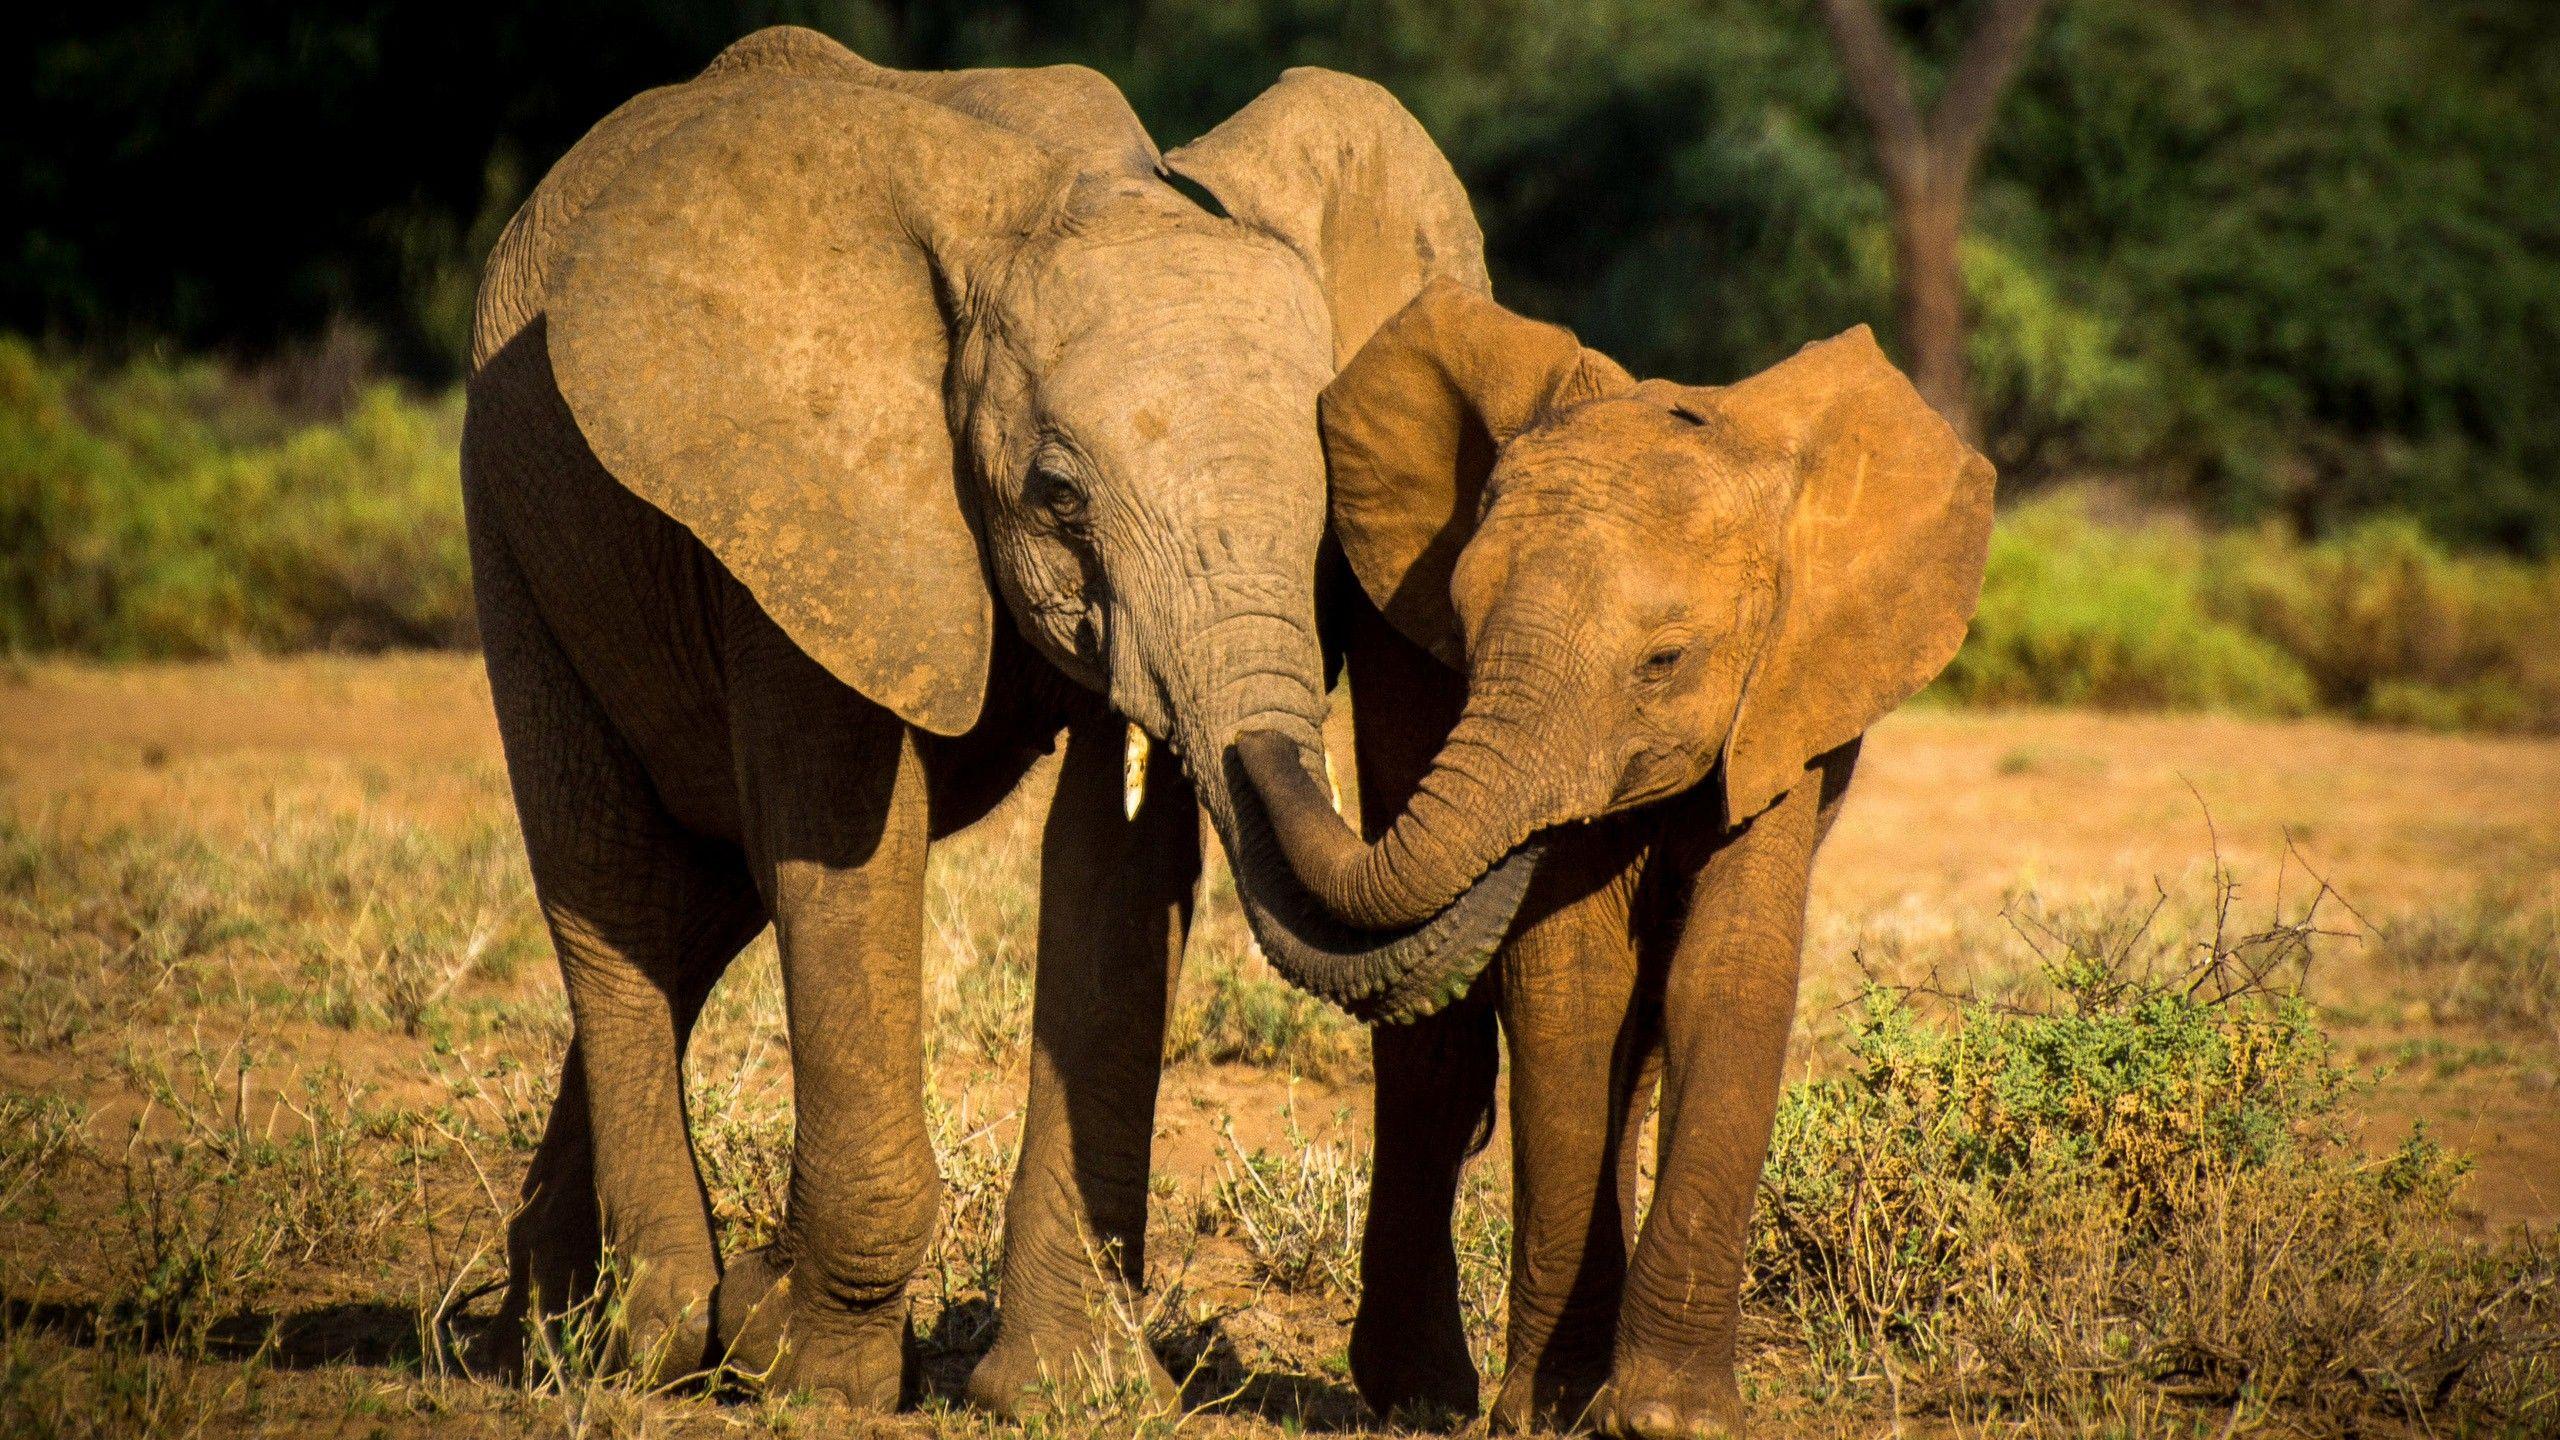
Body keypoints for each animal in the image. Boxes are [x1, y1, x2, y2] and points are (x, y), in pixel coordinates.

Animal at [460, 27, 1541, 1414]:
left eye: (1325, 494)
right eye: (1059, 495)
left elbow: (1112, 870)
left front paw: (1061, 1396)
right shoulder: (810, 505)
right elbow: (845, 854)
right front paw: (809, 1377)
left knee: (706, 904)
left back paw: (537, 1332)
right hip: (510, 518)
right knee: (619, 888)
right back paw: (639, 1344)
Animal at [1237, 281, 1995, 1435]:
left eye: (1664, 662)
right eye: (1462, 631)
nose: (1249, 747)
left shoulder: (1786, 697)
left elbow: (1726, 968)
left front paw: (1665, 1420)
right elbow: (1575, 986)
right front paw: (1546, 1412)